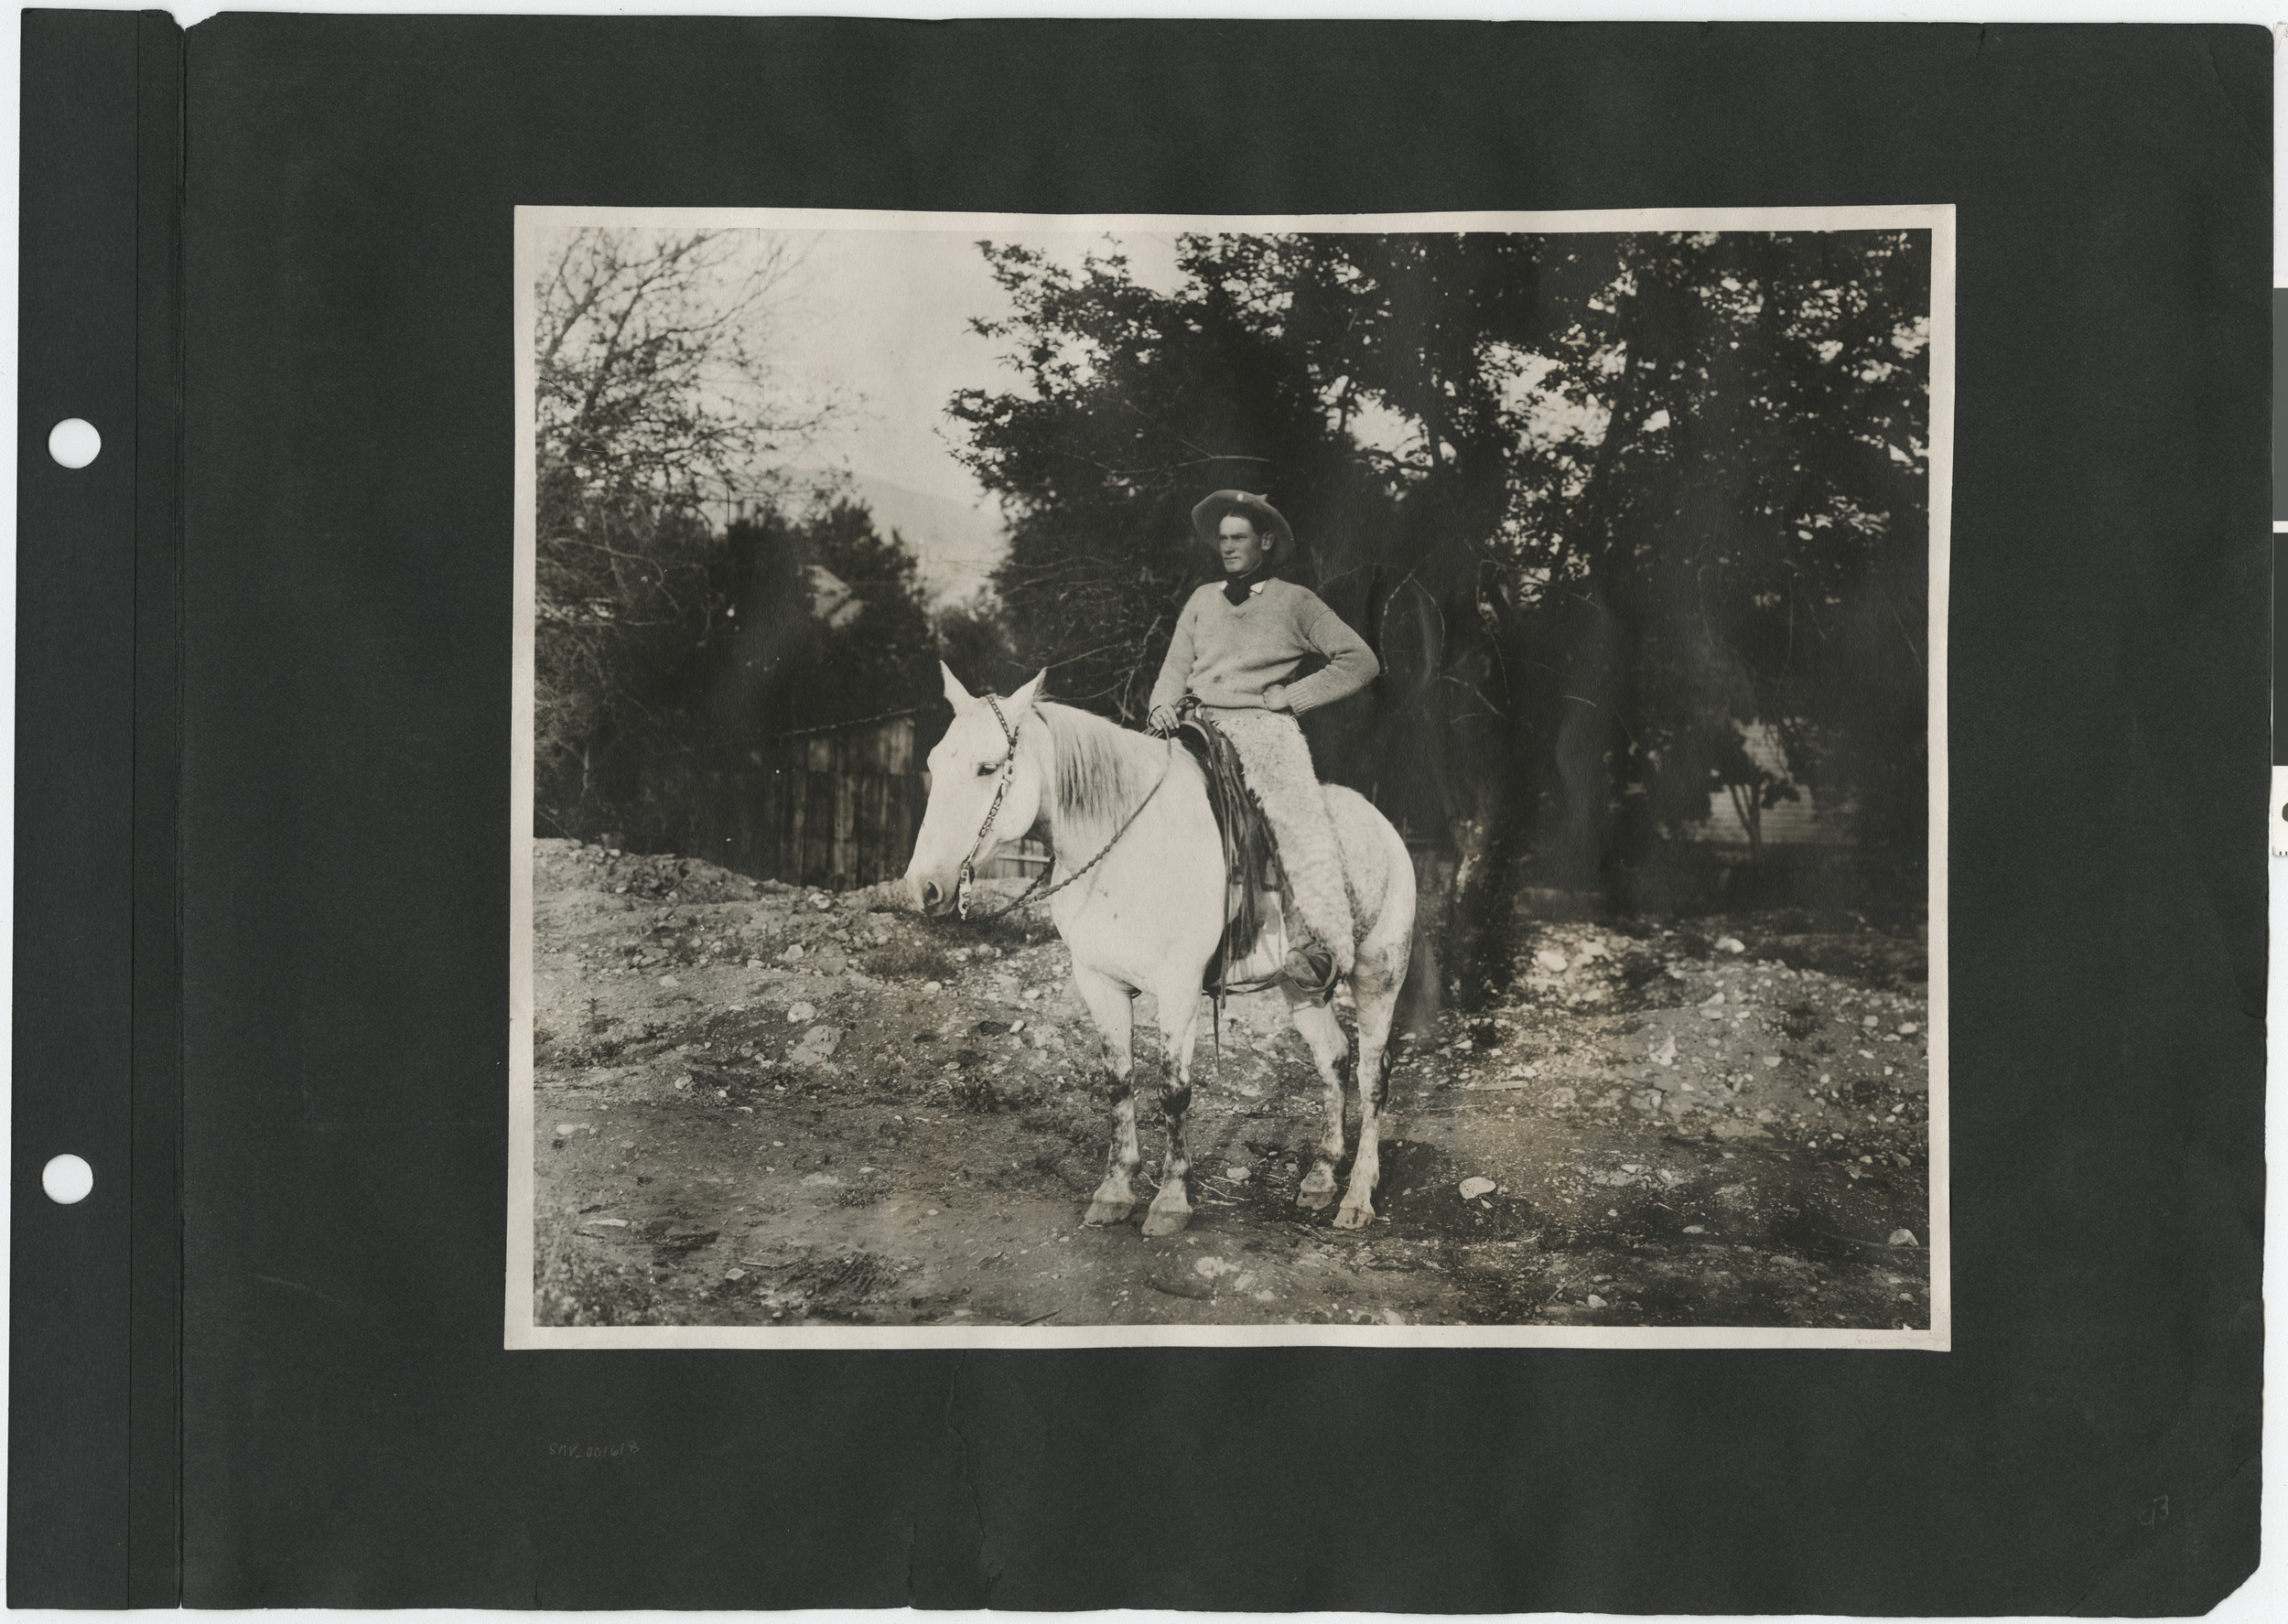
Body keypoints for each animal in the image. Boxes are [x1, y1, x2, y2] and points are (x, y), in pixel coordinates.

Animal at [906, 668, 1409, 1244]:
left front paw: (1171, 1199)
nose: (923, 888)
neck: (1128, 847)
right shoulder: (1099, 982)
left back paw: (1358, 1197)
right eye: (934, 762)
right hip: (1299, 985)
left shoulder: (1179, 988)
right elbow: (1119, 1082)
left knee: (1372, 1077)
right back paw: (1322, 1177)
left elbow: (1173, 1090)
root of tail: (1382, 825)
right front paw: (1115, 1190)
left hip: (1380, 975)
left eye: (987, 767)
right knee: (1334, 1058)